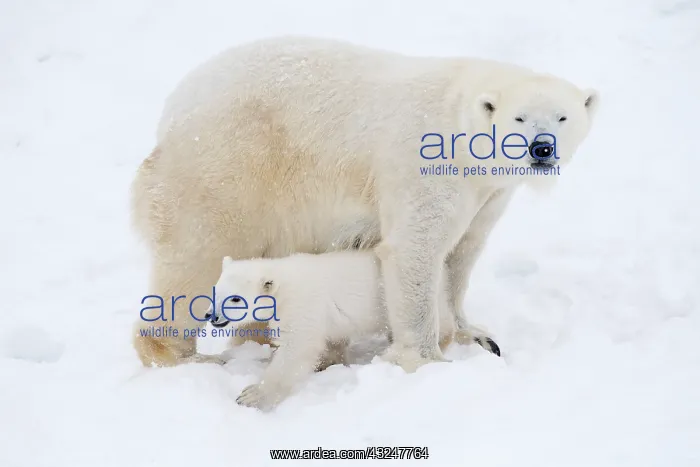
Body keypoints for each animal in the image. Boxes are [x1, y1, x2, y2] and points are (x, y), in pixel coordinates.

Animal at [131, 35, 598, 370]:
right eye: (520, 118)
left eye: (563, 117)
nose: (542, 149)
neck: (464, 126)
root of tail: (172, 108)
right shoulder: (427, 165)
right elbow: (414, 250)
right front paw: (425, 359)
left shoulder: (490, 193)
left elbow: (461, 254)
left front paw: (477, 335)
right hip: (227, 166)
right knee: (196, 255)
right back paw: (183, 356)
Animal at [205, 252, 485, 410]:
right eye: (216, 290)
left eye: (235, 299)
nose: (212, 315)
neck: (283, 283)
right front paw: (328, 361)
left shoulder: (303, 304)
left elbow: (298, 349)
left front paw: (252, 395)